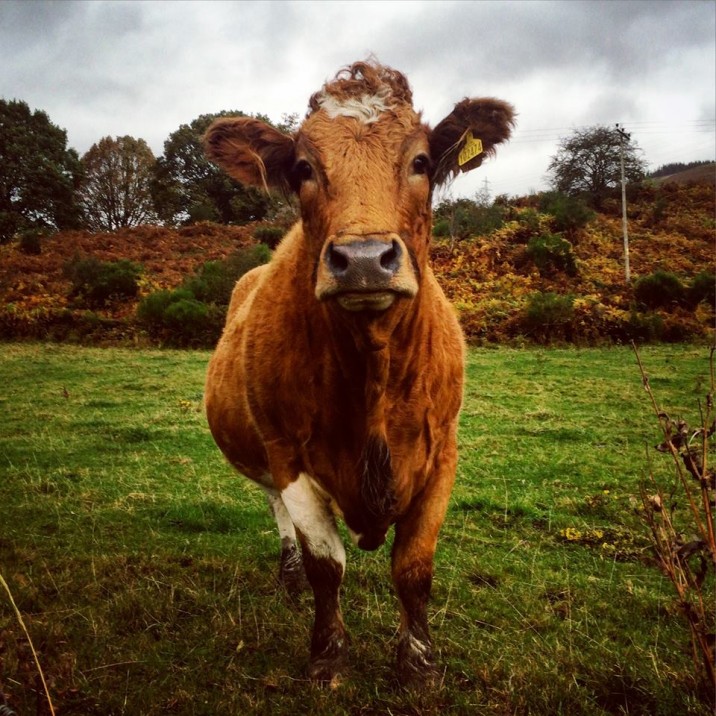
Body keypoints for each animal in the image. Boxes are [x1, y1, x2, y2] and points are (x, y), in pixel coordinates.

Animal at [203, 60, 514, 686]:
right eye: (303, 168)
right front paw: (327, 656)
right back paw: (288, 576)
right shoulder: (289, 456)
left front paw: (417, 662)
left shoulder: (442, 452)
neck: (373, 370)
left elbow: (413, 567)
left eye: (420, 162)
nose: (365, 259)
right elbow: (327, 567)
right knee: (277, 512)